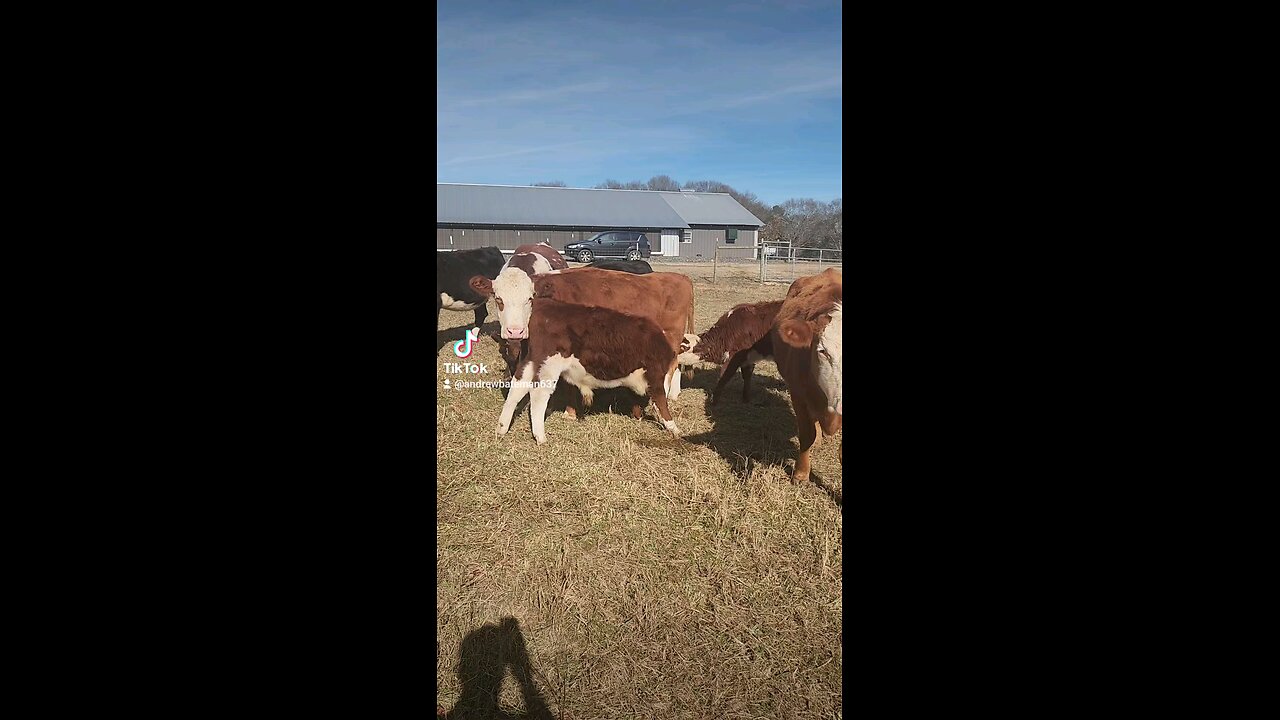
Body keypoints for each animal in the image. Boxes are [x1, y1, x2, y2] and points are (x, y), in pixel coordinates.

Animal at [471, 266, 696, 397]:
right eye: (498, 299)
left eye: (530, 298)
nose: (515, 331)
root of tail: (681, 277)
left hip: (670, 337)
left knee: (672, 366)